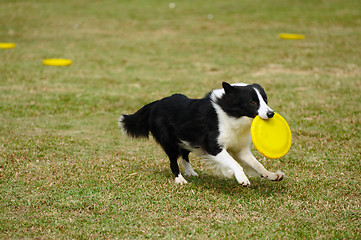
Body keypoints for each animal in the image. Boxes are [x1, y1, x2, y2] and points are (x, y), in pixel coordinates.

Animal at [118, 82, 284, 186]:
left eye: (265, 99)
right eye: (252, 102)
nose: (271, 114)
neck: (230, 114)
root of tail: (156, 103)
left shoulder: (240, 148)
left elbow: (257, 164)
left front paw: (271, 175)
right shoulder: (213, 147)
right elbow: (235, 163)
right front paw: (241, 178)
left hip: (186, 137)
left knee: (184, 155)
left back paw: (190, 172)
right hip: (170, 141)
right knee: (173, 160)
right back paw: (180, 179)